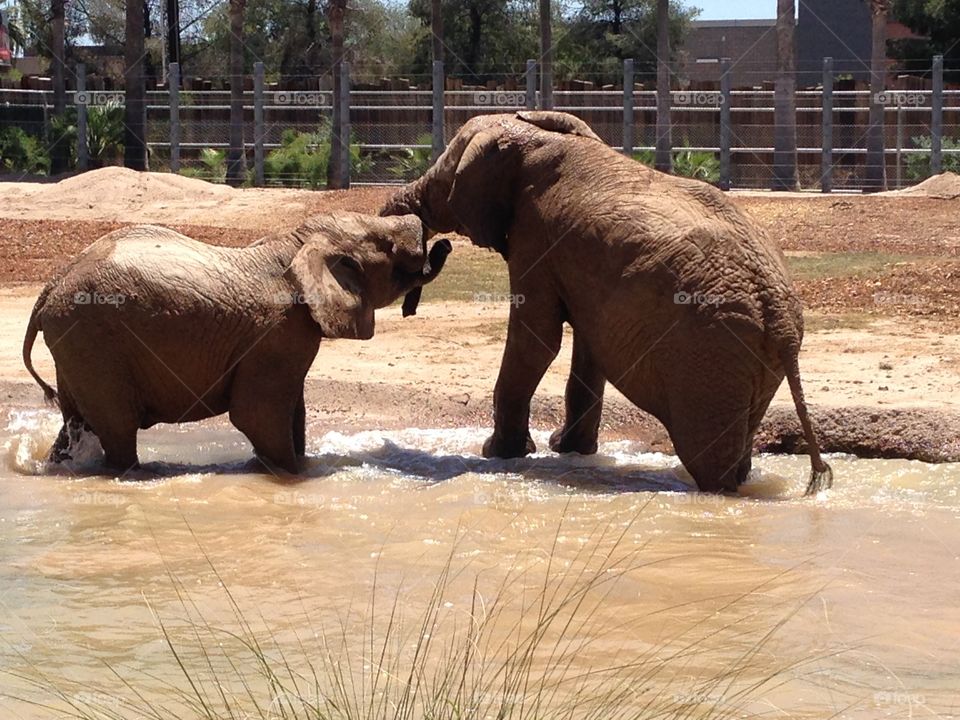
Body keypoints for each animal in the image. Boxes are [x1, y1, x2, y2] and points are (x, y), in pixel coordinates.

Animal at [22, 212, 451, 474]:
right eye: (386, 245)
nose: (442, 244)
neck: (295, 243)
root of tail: (49, 289)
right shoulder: (275, 335)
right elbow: (258, 416)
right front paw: (289, 475)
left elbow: (292, 415)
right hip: (92, 341)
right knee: (118, 429)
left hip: (77, 347)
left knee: (78, 424)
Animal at [382, 111, 832, 495]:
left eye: (441, 180)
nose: (437, 247)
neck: (535, 133)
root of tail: (779, 316)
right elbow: (588, 346)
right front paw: (566, 451)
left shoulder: (535, 236)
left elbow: (537, 341)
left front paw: (498, 454)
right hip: (749, 365)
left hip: (710, 359)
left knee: (709, 460)